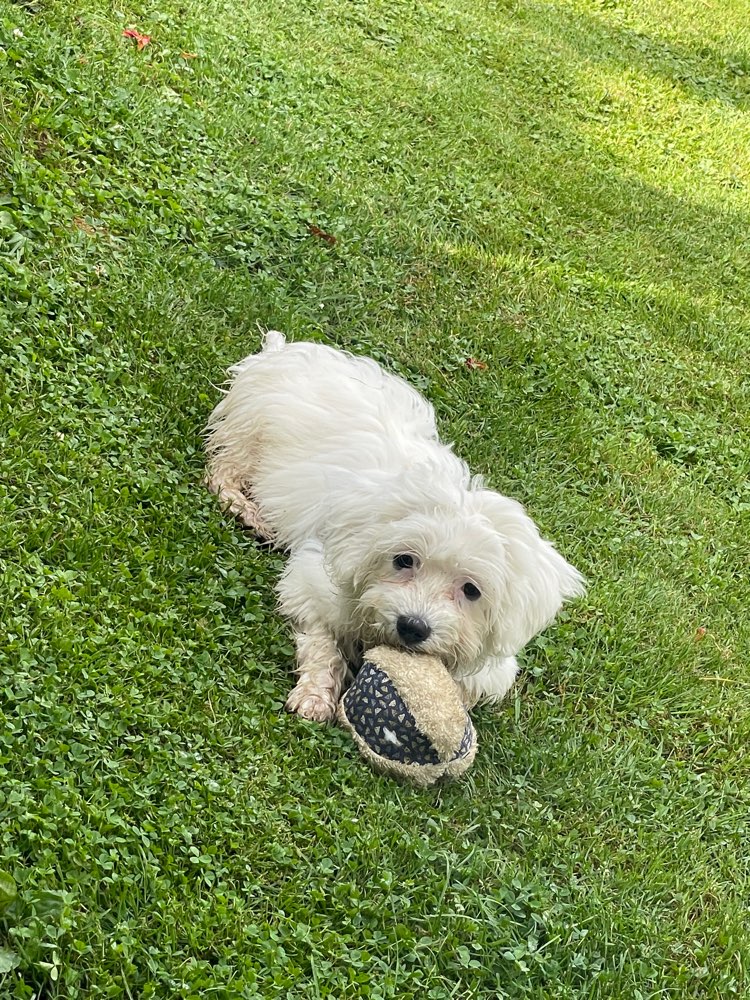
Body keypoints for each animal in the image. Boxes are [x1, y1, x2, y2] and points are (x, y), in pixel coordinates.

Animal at [206, 334, 588, 720]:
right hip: (250, 430)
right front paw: (316, 693)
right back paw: (248, 511)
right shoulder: (313, 583)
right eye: (404, 560)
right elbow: (321, 639)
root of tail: (280, 351)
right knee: (222, 471)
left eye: (471, 590)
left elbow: (469, 687)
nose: (412, 626)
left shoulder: (492, 667)